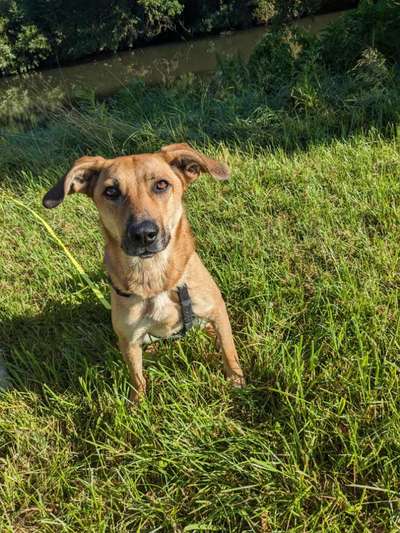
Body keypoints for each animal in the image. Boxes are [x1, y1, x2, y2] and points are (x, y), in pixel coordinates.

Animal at [43, 141, 244, 400]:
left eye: (161, 185)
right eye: (111, 191)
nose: (144, 234)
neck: (154, 278)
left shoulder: (217, 310)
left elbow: (229, 352)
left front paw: (237, 382)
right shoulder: (129, 339)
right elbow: (137, 377)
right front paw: (137, 403)